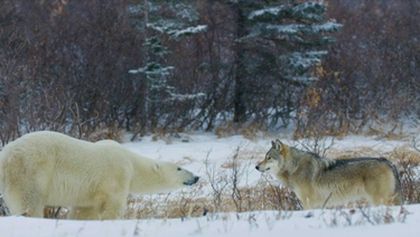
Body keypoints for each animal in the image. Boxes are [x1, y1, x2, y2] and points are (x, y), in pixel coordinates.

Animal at [0, 131, 199, 219]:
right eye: (180, 168)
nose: (196, 177)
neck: (131, 161)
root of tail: (5, 154)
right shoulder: (116, 175)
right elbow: (114, 206)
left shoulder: (88, 193)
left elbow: (84, 211)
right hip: (30, 169)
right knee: (29, 201)